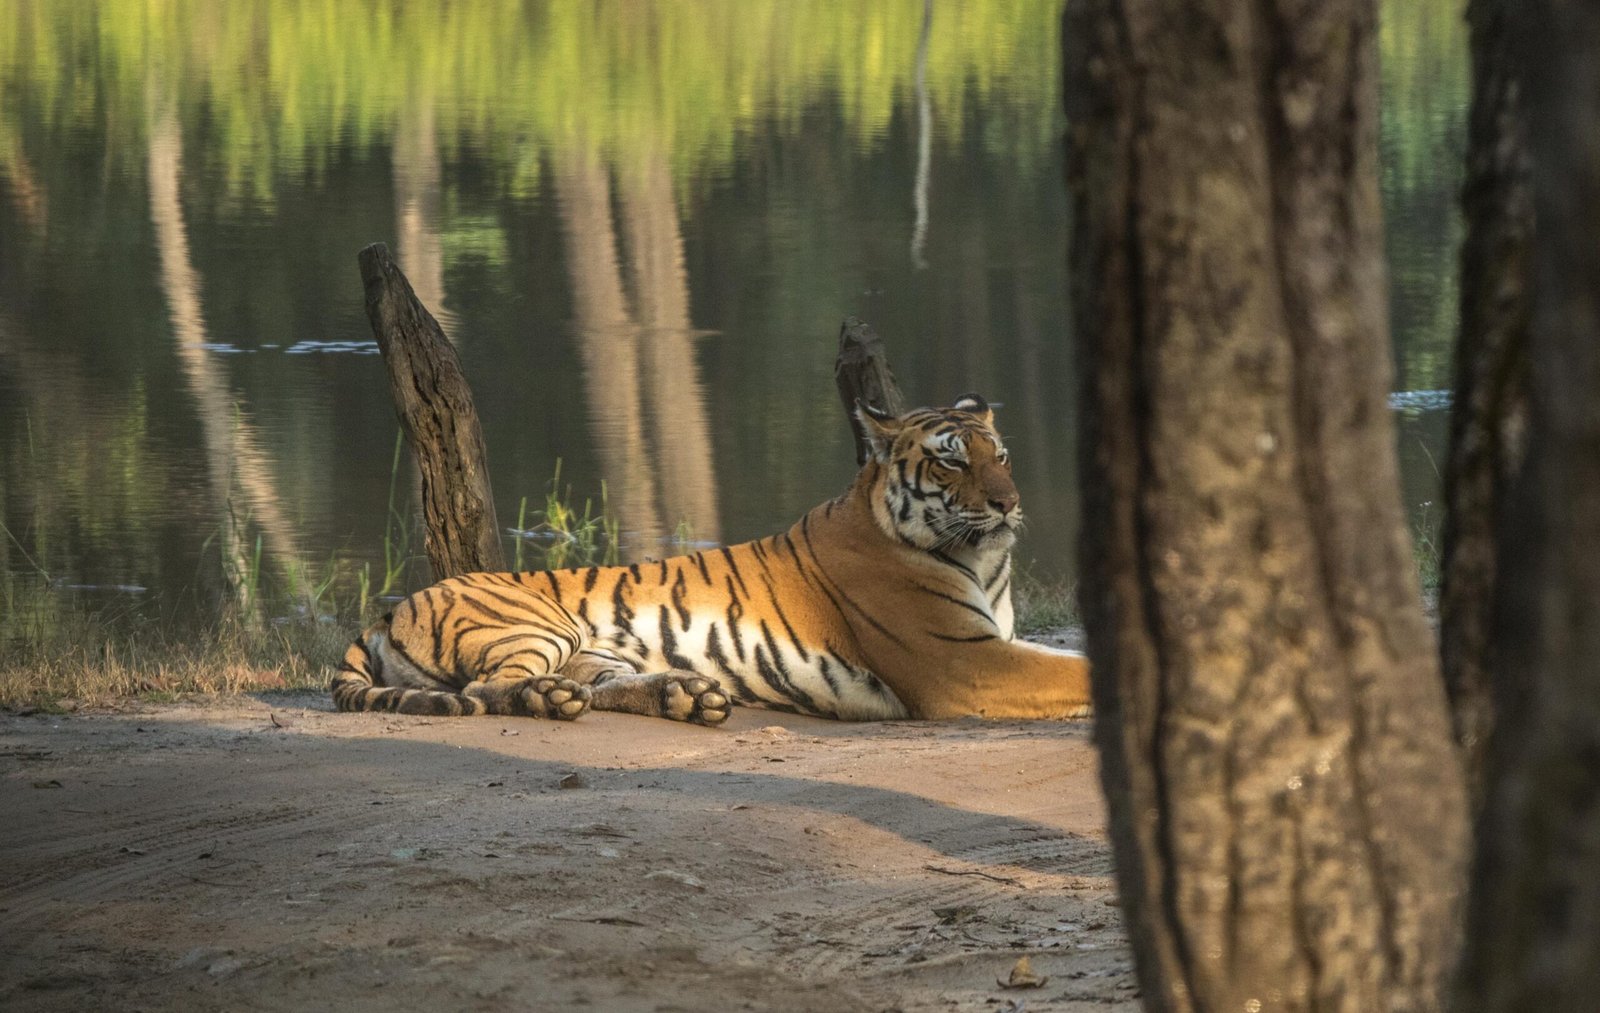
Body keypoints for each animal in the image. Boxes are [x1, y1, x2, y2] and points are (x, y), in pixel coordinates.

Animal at [331, 394, 1091, 724]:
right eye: (950, 459)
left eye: (1001, 456)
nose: (1008, 503)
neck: (983, 560)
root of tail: (388, 610)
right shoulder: (967, 665)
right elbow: (1076, 669)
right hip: (535, 627)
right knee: (490, 689)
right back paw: (553, 700)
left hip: (591, 651)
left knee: (602, 686)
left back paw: (686, 694)